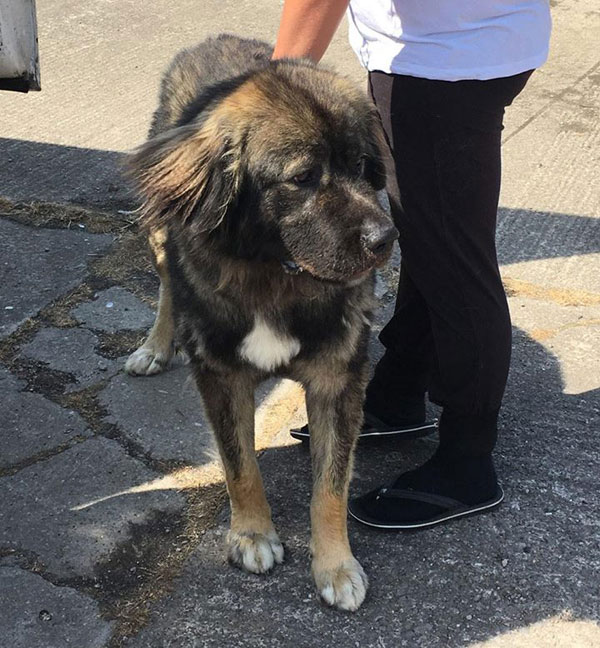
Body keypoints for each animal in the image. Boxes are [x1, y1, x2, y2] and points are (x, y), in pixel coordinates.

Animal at [126, 35, 396, 612]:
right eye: (302, 178)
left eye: (363, 165)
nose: (385, 239)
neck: (275, 270)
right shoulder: (221, 376)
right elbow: (239, 465)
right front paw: (251, 535)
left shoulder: (337, 380)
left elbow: (330, 486)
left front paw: (335, 565)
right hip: (160, 235)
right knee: (167, 285)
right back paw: (156, 344)